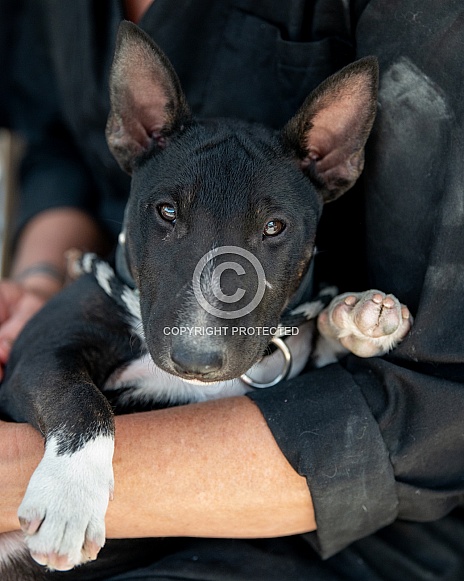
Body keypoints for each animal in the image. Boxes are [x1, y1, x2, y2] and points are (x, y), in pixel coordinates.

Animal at [0, 21, 410, 576]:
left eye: (274, 227)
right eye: (167, 211)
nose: (195, 359)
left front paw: (359, 316)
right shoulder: (36, 351)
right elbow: (81, 400)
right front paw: (69, 501)